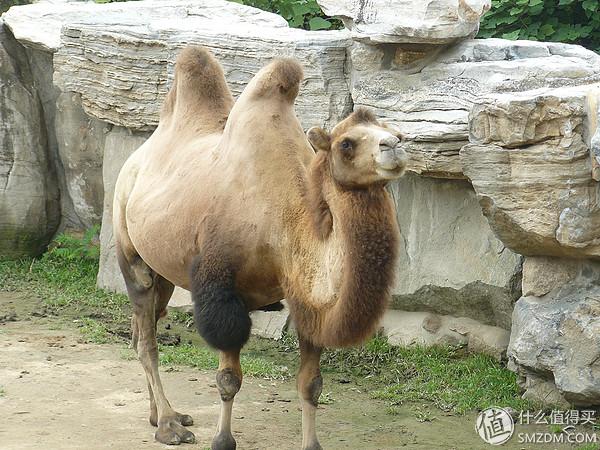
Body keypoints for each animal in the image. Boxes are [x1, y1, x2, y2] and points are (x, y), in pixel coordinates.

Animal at [113, 46, 408, 450]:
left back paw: (157, 414)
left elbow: (311, 384)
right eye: (346, 143)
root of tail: (135, 159)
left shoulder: (305, 295)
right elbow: (228, 380)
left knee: (143, 327)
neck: (282, 220)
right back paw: (170, 425)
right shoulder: (221, 289)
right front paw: (223, 440)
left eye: (396, 132)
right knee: (147, 340)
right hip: (128, 247)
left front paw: (311, 444)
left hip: (164, 271)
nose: (395, 147)